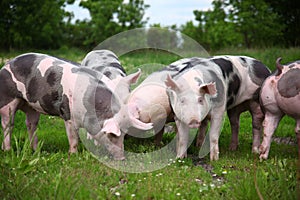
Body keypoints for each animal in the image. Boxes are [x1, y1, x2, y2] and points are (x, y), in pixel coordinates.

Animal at [0, 52, 151, 159]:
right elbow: (73, 138)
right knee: (8, 124)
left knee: (31, 124)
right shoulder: (67, 114)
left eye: (124, 133)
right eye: (112, 135)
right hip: (7, 99)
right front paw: (73, 155)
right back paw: (7, 150)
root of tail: (8, 63)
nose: (122, 158)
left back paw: (36, 151)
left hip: (31, 106)